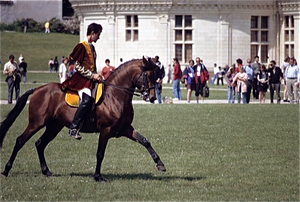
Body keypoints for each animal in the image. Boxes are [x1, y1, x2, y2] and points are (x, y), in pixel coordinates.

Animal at [0, 56, 166, 181]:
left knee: (40, 144)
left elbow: (145, 141)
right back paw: (6, 170)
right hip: (36, 123)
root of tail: (37, 90)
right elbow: (100, 153)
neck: (115, 95)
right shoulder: (106, 131)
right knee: (20, 141)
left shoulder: (125, 129)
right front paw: (98, 177)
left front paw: (160, 164)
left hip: (54, 126)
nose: (152, 97)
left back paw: (46, 171)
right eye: (148, 75)